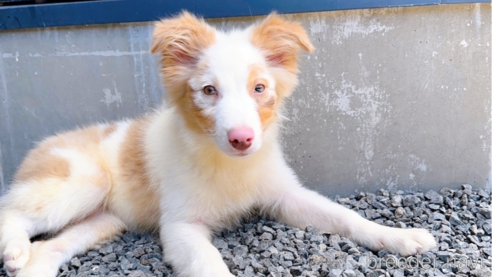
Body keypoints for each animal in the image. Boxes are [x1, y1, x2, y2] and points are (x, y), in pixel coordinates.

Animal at [0, 11, 434, 276]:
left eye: (259, 88)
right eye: (209, 91)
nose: (242, 139)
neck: (227, 163)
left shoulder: (286, 195)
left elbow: (346, 217)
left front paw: (400, 236)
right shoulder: (180, 226)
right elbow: (210, 263)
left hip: (104, 220)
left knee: (53, 245)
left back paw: (32, 266)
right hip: (82, 182)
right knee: (12, 212)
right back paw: (16, 250)